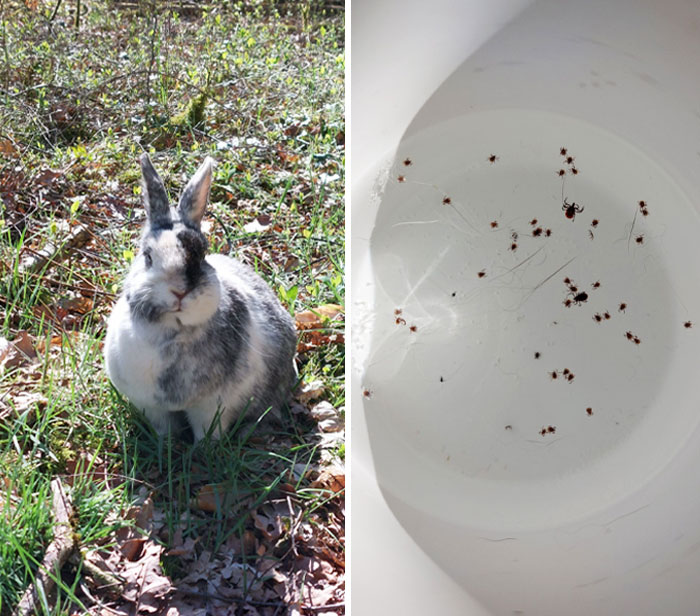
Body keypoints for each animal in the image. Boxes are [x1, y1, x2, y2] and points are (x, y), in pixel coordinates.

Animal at [104, 154, 298, 442]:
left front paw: (204, 448)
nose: (180, 291)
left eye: (202, 253)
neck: (171, 329)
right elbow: (164, 428)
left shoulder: (212, 408)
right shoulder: (152, 407)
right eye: (148, 256)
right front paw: (167, 444)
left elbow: (208, 432)